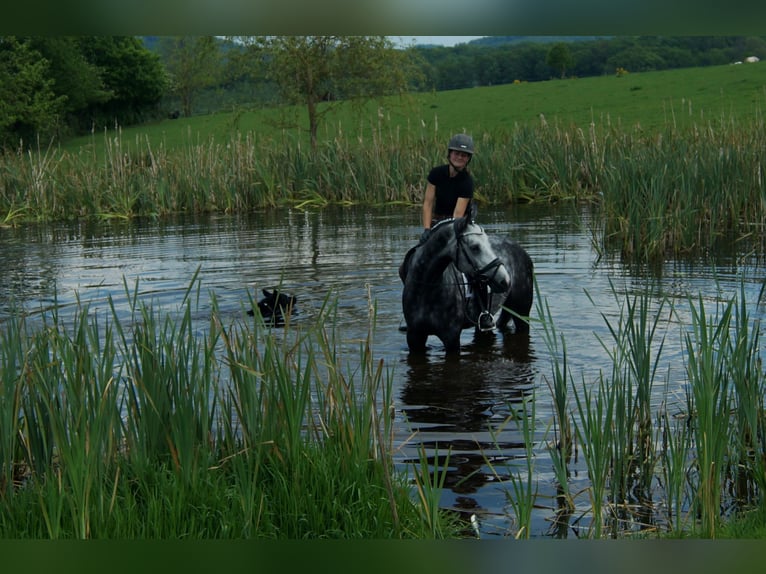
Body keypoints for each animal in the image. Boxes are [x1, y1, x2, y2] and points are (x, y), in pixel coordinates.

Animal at [400, 210, 536, 356]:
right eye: (475, 247)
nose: (505, 280)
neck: (426, 288)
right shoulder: (414, 337)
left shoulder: (451, 338)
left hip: (521, 314)